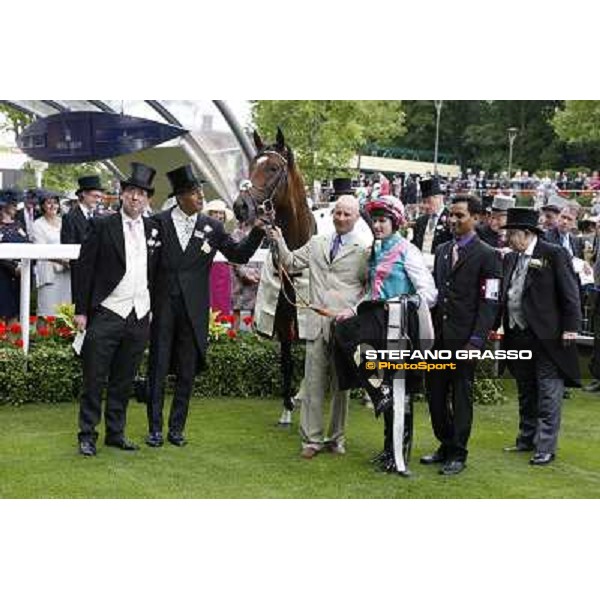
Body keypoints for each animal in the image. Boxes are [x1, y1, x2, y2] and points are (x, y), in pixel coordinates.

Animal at [233, 128, 316, 424]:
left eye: (272, 168)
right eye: (251, 166)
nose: (240, 206)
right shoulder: (282, 314)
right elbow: (287, 360)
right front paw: (287, 408)